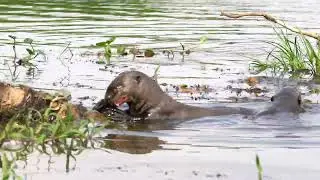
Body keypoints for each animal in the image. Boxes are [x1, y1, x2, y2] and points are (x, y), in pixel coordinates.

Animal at [94, 70, 256, 121]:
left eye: (117, 87)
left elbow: (137, 118)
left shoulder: (155, 113)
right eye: (109, 87)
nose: (107, 98)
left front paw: (115, 113)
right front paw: (99, 104)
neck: (153, 101)